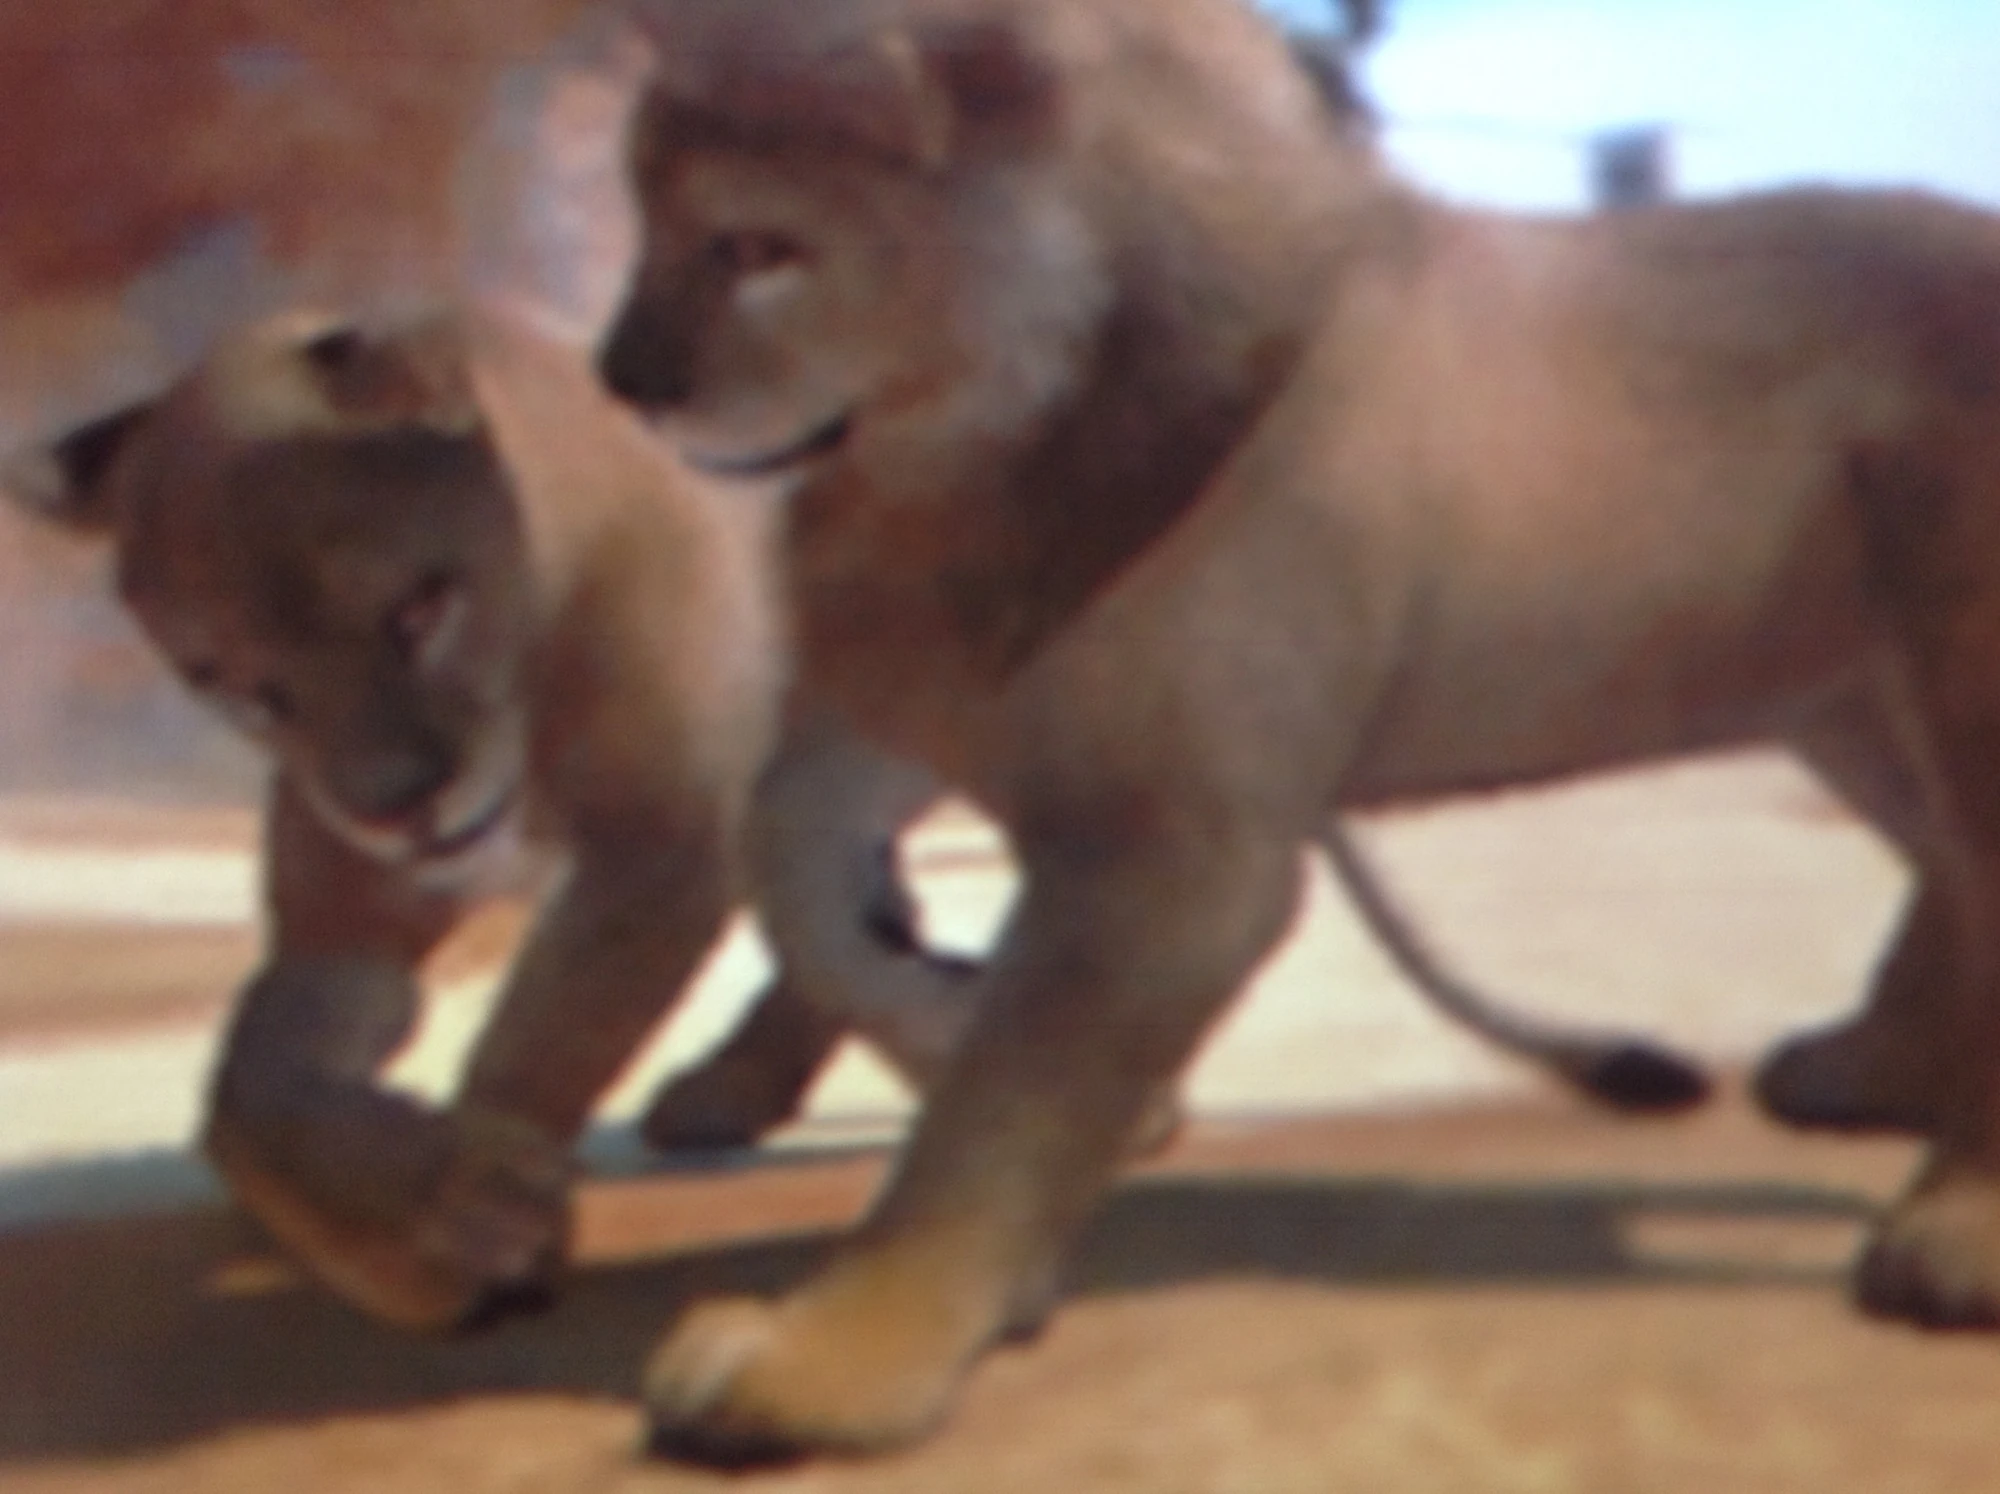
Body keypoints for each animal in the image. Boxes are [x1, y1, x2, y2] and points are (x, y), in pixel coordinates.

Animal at [588, 0, 2000, 1460]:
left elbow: (1000, 1114)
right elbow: (793, 874)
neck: (981, 448)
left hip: (1956, 665)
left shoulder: (1177, 857)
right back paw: (1871, 1070)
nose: (621, 376)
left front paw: (829, 1364)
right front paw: (946, 1014)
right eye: (647, 220)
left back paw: (1957, 1232)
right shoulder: (924, 705)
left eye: (756, 247)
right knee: (1952, 874)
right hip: (1853, 703)